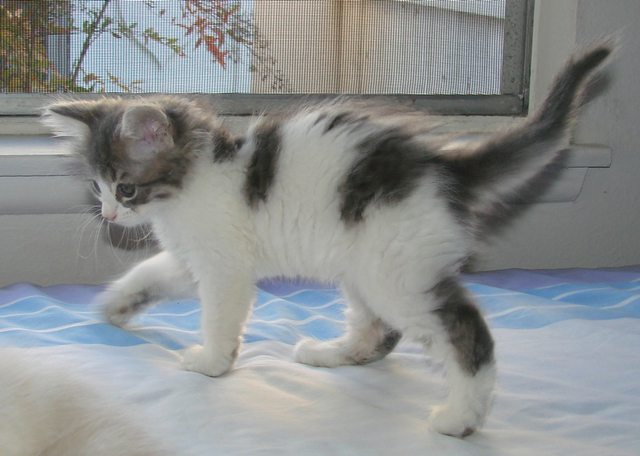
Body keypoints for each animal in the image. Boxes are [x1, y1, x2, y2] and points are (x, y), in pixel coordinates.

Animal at [42, 43, 612, 438]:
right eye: (96, 186)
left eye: (126, 187)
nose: (108, 213)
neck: (198, 178)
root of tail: (443, 166)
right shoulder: (191, 260)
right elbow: (147, 273)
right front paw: (115, 305)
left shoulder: (226, 267)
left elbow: (218, 318)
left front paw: (212, 363)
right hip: (364, 265)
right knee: (379, 333)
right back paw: (329, 354)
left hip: (396, 272)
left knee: (466, 332)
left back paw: (461, 417)